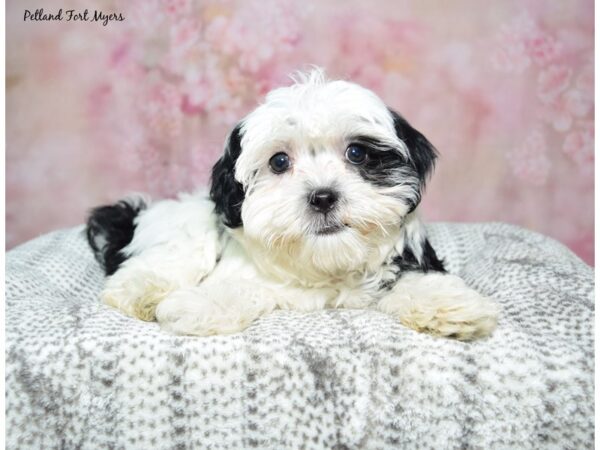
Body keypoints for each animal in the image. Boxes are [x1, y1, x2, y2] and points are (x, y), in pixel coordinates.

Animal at [86, 68, 500, 340]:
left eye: (357, 153)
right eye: (279, 161)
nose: (323, 196)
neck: (326, 265)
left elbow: (417, 279)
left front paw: (452, 306)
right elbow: (235, 286)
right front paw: (199, 305)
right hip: (185, 228)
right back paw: (141, 291)